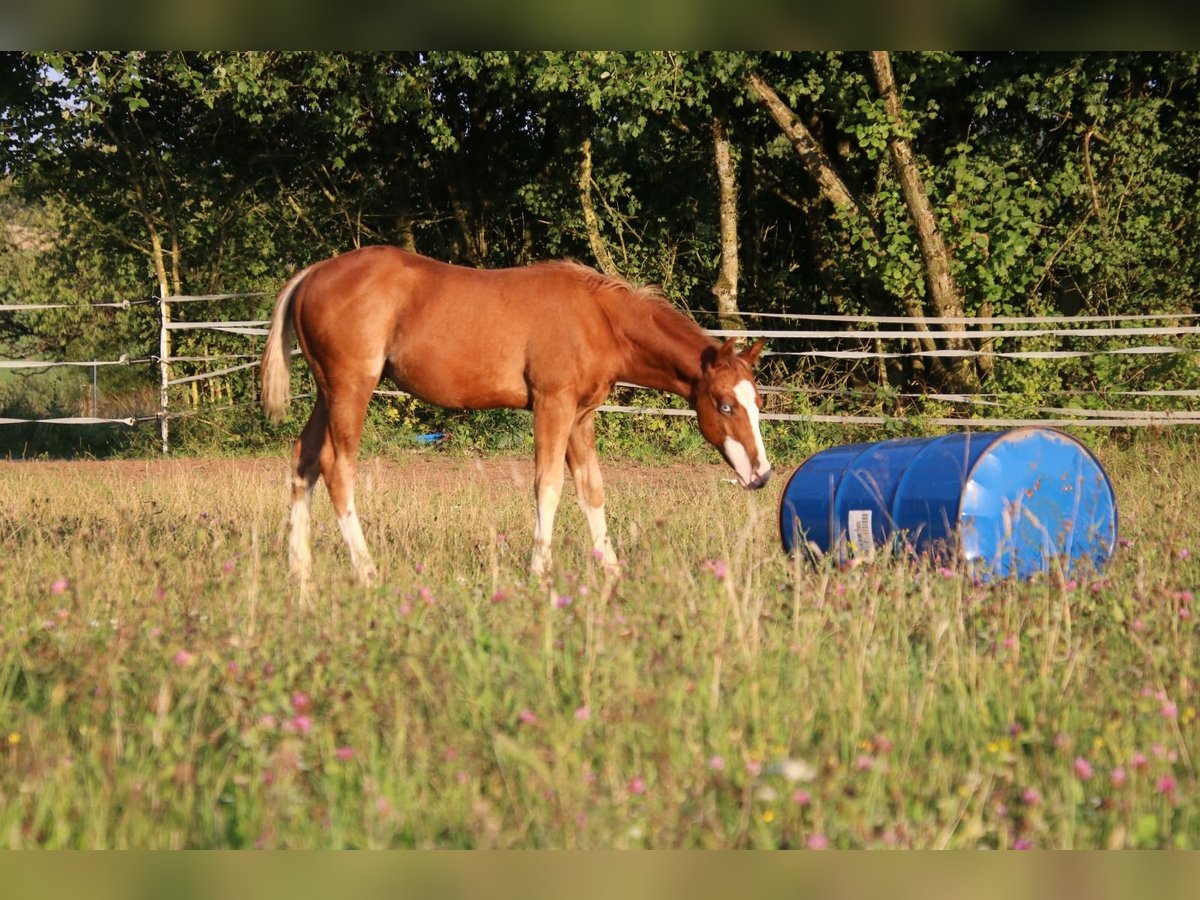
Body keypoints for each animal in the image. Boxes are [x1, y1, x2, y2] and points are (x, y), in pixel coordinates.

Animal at [260, 246, 771, 589]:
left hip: (327, 392)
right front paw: (539, 571)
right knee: (336, 466)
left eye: (757, 403)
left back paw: (299, 571)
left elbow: (592, 490)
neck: (597, 319)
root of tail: (312, 273)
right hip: (352, 389)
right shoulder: (552, 405)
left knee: (303, 460)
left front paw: (611, 570)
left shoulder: (581, 417)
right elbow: (548, 485)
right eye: (725, 405)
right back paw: (366, 571)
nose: (762, 475)